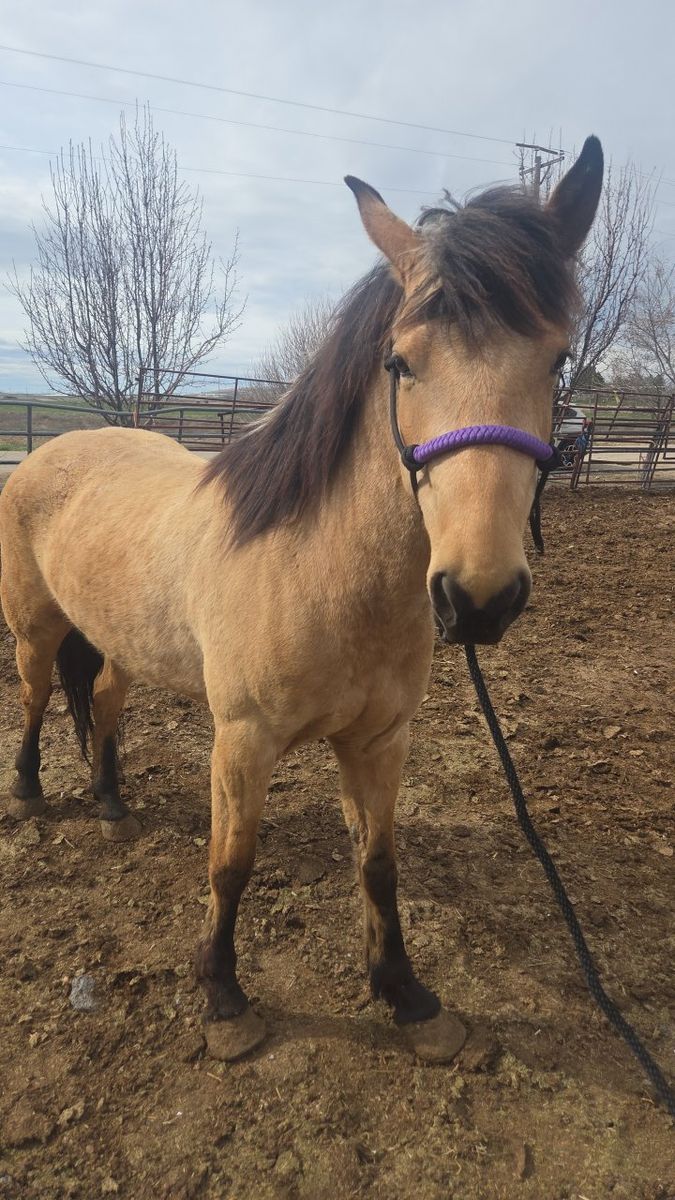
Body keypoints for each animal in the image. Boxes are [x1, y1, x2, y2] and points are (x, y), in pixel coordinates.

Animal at [0, 137, 603, 1063]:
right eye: (400, 362)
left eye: (556, 360)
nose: (477, 596)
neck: (317, 569)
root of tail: (49, 452)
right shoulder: (242, 741)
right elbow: (231, 862)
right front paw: (224, 999)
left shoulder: (379, 742)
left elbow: (379, 863)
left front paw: (406, 997)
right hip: (35, 628)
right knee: (34, 699)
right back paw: (31, 795)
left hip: (122, 642)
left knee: (99, 702)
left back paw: (110, 805)